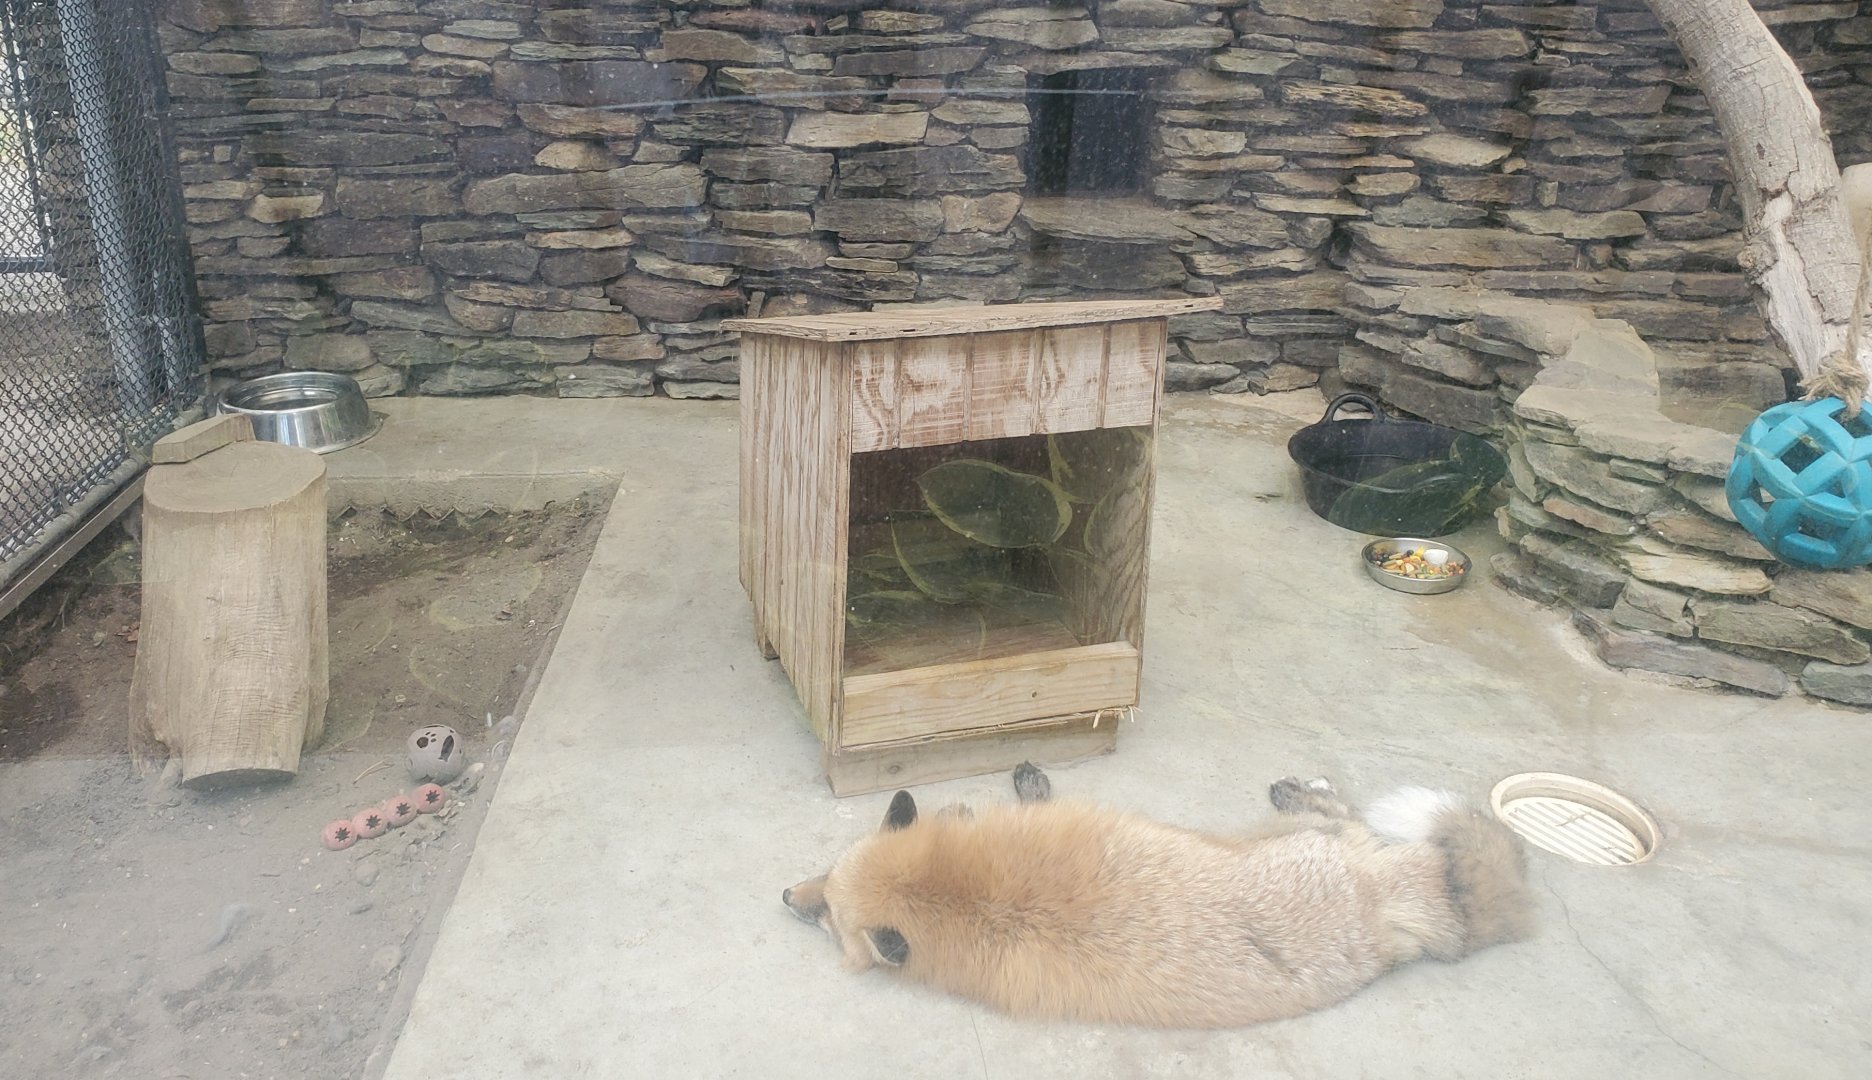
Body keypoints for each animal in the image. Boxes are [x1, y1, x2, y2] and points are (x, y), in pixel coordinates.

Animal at [782, 763, 1535, 1029]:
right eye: (825, 875)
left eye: (827, 918)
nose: (787, 894)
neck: (964, 892)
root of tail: (1384, 900)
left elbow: (1036, 796)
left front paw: (1023, 783)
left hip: (1284, 837)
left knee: (1342, 811)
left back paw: (1303, 789)